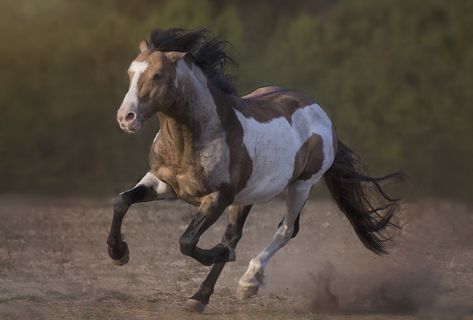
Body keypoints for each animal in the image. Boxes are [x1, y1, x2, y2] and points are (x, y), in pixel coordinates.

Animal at [106, 27, 402, 312]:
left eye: (157, 75)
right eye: (131, 72)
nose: (125, 118)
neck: (193, 138)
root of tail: (322, 115)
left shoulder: (217, 198)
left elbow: (187, 241)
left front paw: (223, 256)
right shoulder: (162, 183)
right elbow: (122, 201)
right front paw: (119, 253)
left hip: (301, 186)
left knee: (285, 230)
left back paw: (248, 281)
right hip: (246, 197)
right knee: (235, 235)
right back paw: (200, 297)